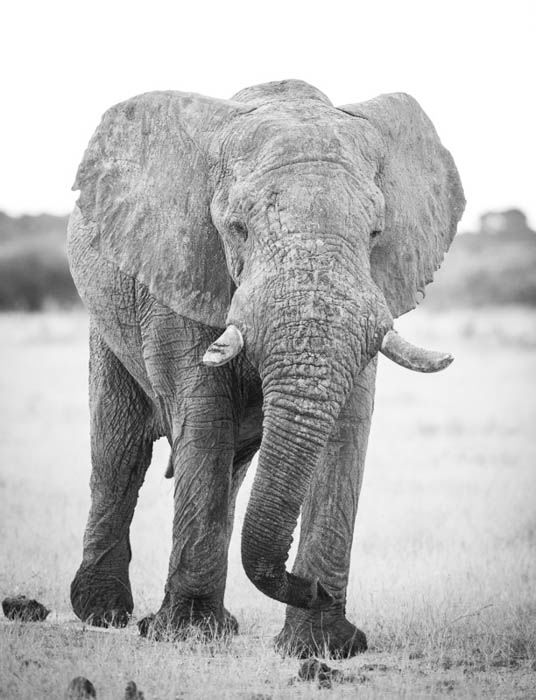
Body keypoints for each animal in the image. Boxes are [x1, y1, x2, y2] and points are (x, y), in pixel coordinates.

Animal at [67, 79, 462, 660]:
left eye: (375, 233)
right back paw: (104, 613)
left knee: (230, 465)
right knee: (121, 453)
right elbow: (203, 418)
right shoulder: (182, 271)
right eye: (237, 229)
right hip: (108, 324)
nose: (312, 587)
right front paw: (187, 634)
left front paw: (323, 647)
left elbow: (346, 432)